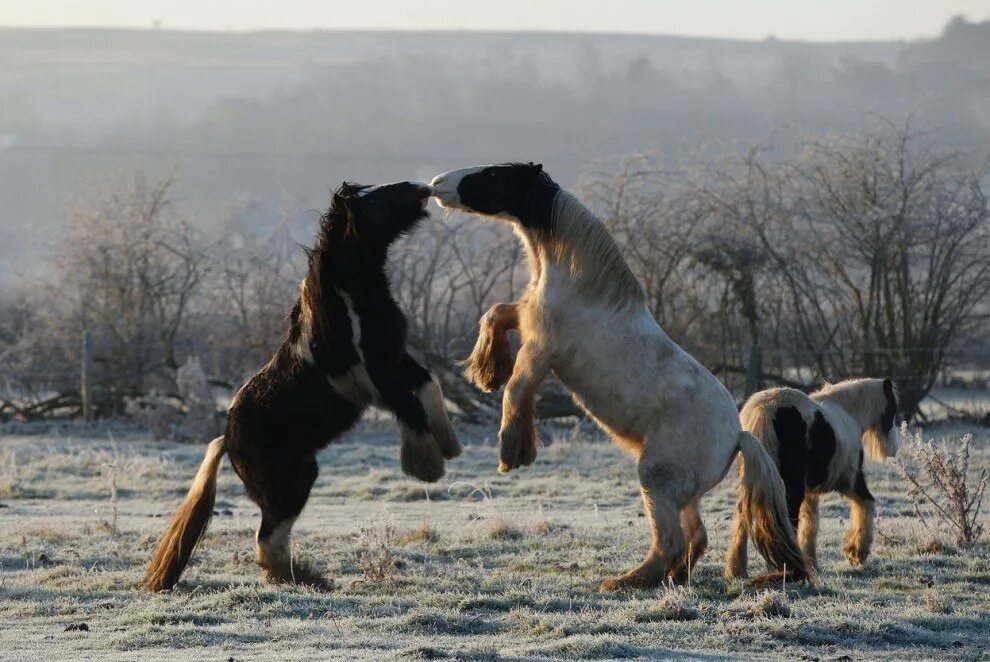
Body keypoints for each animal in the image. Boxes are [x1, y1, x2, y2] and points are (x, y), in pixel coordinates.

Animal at [145, 182, 464, 592]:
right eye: (374, 200)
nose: (420, 188)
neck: (347, 302)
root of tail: (226, 438)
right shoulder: (373, 377)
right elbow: (409, 407)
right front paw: (427, 466)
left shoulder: (395, 357)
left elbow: (429, 386)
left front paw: (449, 444)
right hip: (289, 483)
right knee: (267, 537)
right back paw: (305, 580)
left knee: (270, 539)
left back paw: (302, 578)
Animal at [434, 166, 812, 592]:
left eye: (496, 175)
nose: (437, 184)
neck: (582, 284)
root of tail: (738, 435)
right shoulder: (528, 319)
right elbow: (497, 313)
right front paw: (487, 369)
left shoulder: (541, 349)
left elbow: (515, 391)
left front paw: (512, 452)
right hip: (682, 494)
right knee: (695, 538)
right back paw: (672, 578)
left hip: (657, 478)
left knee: (671, 541)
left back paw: (626, 581)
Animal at [724, 378, 904, 580]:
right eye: (893, 409)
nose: (894, 448)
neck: (848, 414)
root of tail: (766, 410)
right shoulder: (851, 481)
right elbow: (867, 503)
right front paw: (856, 552)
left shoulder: (810, 491)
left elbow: (810, 522)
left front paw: (813, 563)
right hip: (791, 488)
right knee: (788, 520)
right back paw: (792, 571)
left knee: (742, 518)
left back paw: (736, 571)